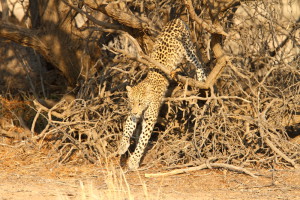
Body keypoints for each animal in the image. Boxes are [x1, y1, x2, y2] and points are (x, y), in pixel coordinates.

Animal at [117, 18, 206, 170]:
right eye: (132, 103)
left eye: (140, 102)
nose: (135, 111)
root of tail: (176, 19)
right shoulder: (134, 113)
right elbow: (128, 127)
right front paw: (123, 145)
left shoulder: (150, 117)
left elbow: (143, 140)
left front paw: (134, 161)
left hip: (187, 48)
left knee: (197, 61)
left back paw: (201, 77)